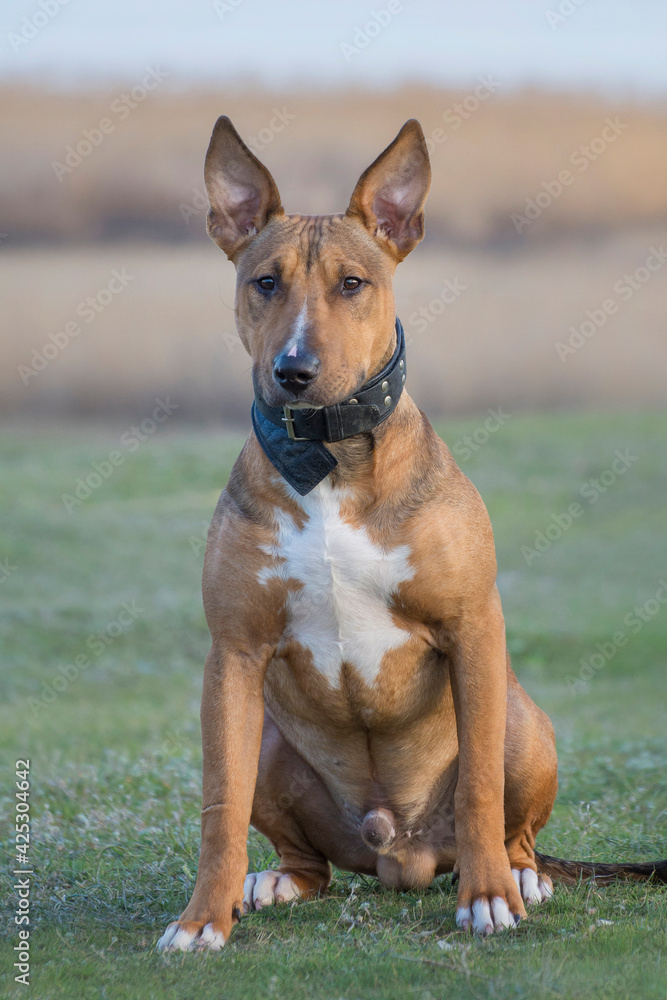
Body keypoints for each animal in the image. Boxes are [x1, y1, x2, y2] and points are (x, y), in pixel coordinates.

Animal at [159, 119, 664, 952]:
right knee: (309, 861)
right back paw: (271, 882)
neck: (328, 456)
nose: (294, 370)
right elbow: (218, 807)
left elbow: (480, 789)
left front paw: (489, 901)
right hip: (267, 738)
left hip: (520, 718)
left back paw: (516, 875)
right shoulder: (231, 656)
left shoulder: (472, 628)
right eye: (264, 282)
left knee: (509, 823)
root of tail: (398, 850)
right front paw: (203, 919)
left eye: (351, 284)